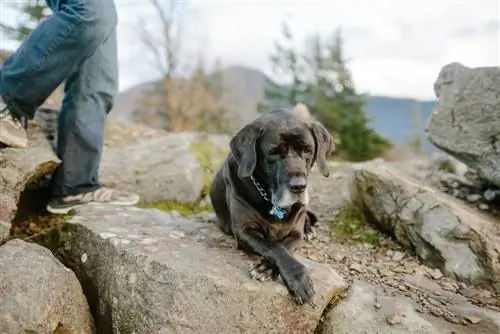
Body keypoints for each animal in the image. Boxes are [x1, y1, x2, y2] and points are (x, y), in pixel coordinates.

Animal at [209, 109, 334, 306]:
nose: (299, 186)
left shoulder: (295, 234)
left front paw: (268, 268)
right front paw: (297, 277)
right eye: (273, 152)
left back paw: (309, 229)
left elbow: (284, 246)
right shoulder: (244, 231)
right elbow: (273, 246)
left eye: (307, 150)